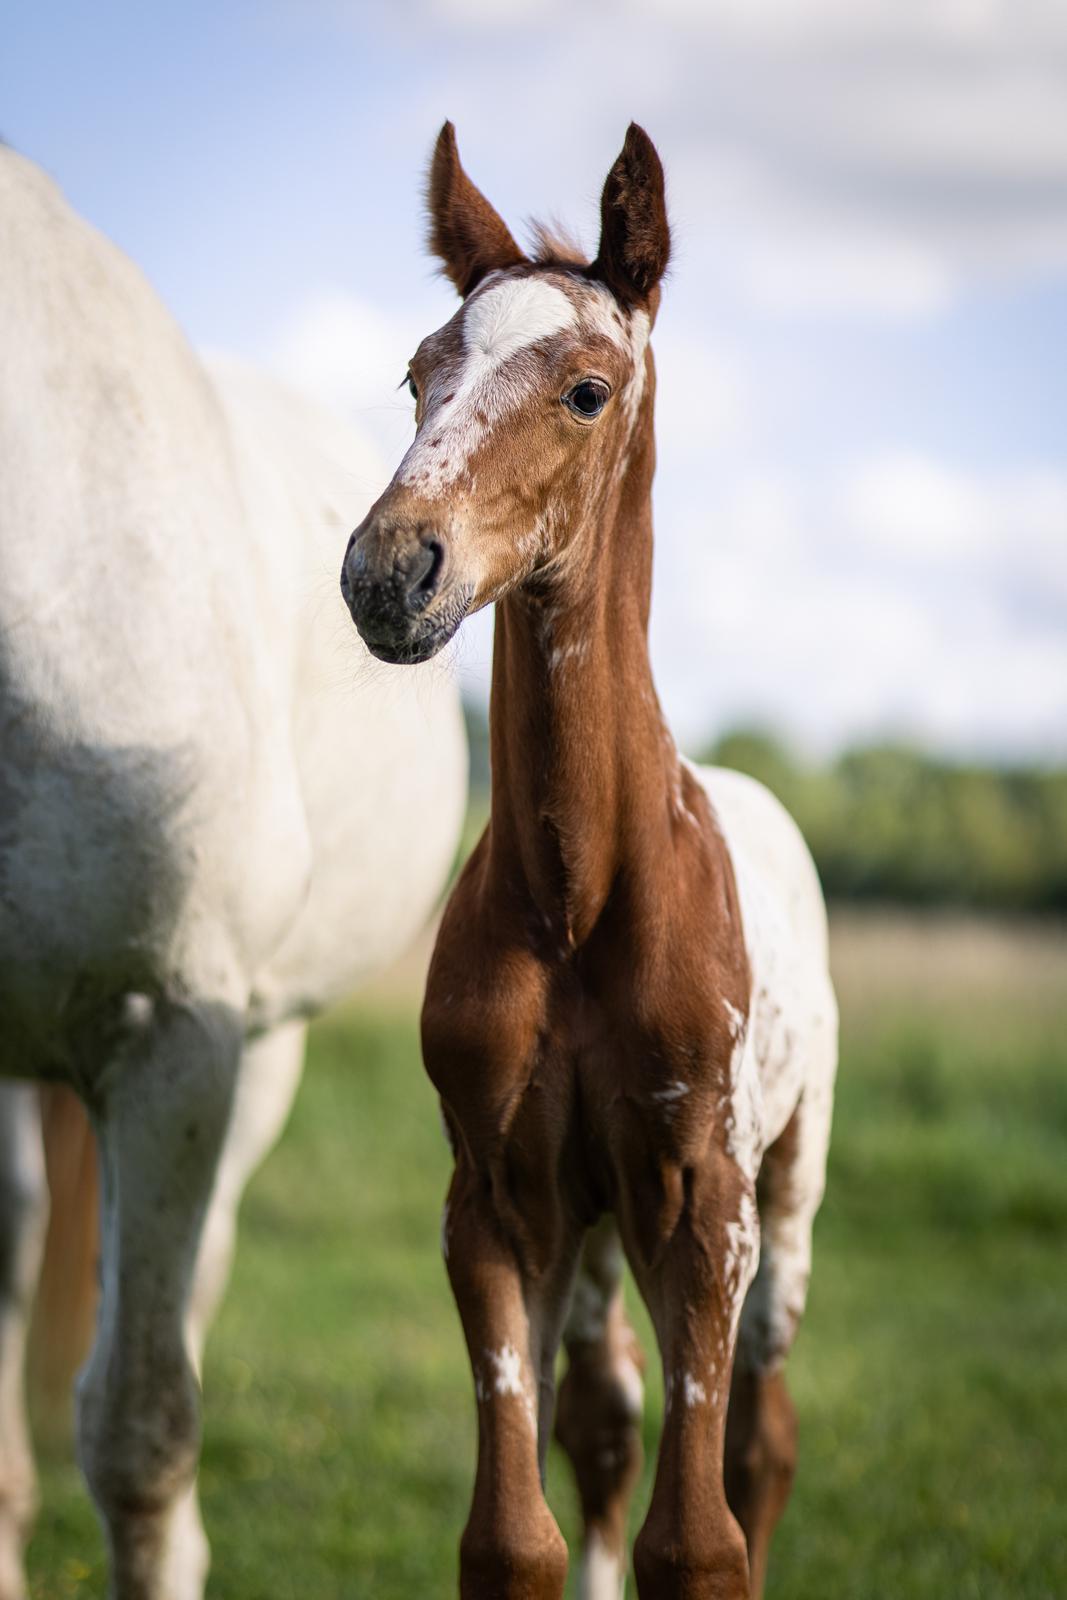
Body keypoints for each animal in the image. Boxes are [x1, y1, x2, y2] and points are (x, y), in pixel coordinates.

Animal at [347, 124, 838, 1600]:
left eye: (584, 389)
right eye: (416, 375)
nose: (389, 569)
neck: (573, 902)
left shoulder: (702, 1205)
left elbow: (701, 1536)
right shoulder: (499, 1201)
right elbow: (516, 1533)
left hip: (782, 1199)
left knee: (763, 1433)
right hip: (592, 1229)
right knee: (606, 1413)